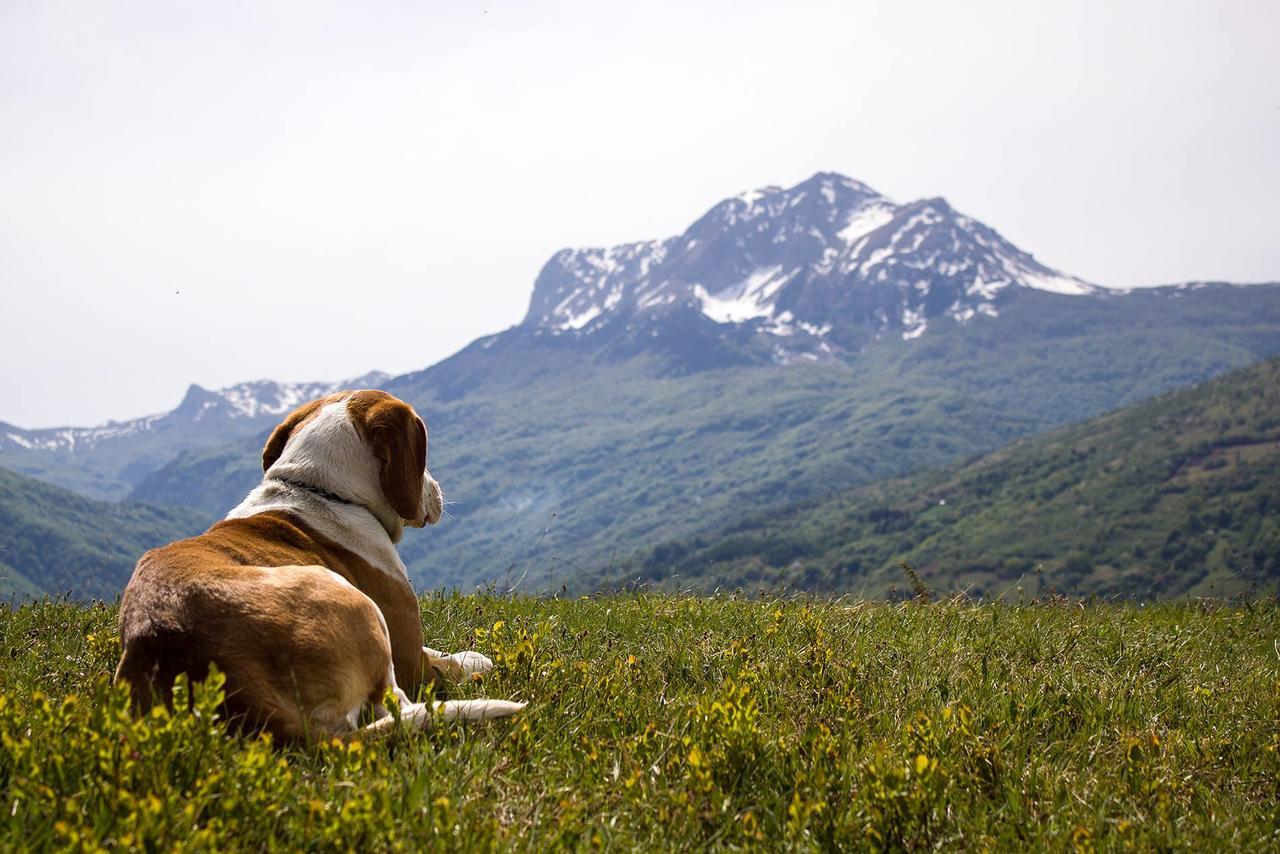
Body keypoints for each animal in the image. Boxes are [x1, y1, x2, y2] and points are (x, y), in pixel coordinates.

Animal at [112, 391, 522, 737]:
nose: (437, 491)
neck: (321, 491)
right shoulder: (408, 656)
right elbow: (447, 665)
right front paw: (475, 664)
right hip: (353, 602)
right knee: (399, 707)